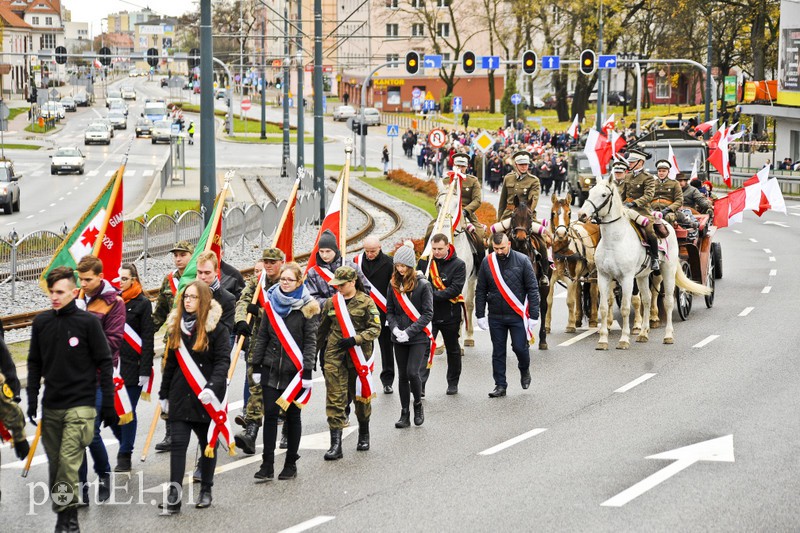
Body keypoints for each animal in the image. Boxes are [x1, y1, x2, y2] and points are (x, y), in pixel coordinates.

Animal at [506, 195, 552, 350]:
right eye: (513, 215)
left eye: (530, 217)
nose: (520, 238)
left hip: (545, 286)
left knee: (543, 307)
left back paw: (543, 340)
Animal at [552, 191, 600, 332]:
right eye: (553, 213)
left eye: (569, 213)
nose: (561, 233)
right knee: (579, 291)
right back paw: (578, 318)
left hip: (594, 271)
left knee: (593, 291)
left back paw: (593, 319)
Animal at [576, 179, 712, 350]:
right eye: (590, 192)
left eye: (604, 195)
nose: (582, 214)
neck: (614, 241)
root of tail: (666, 223)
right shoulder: (603, 277)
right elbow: (604, 308)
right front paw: (603, 340)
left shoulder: (627, 278)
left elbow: (626, 308)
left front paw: (624, 339)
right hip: (642, 276)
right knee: (647, 299)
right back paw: (643, 333)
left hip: (667, 270)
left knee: (668, 301)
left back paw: (668, 335)